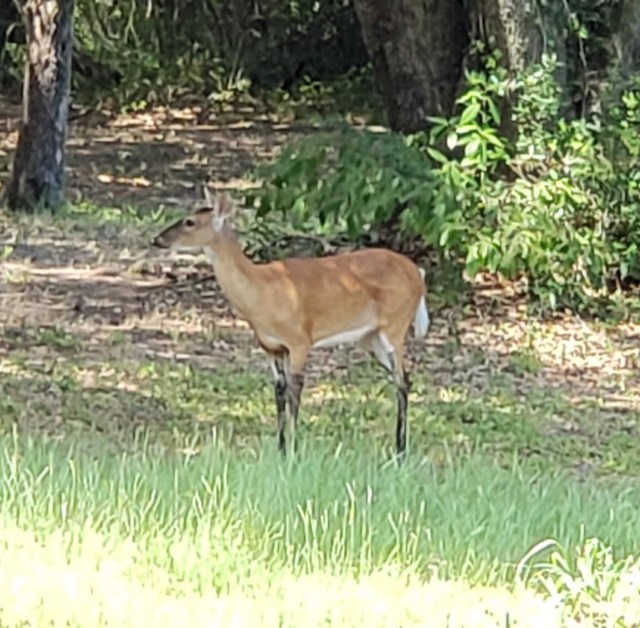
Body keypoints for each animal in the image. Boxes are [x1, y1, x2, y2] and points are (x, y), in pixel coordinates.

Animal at [152, 189, 430, 458]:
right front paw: (282, 450)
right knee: (404, 377)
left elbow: (295, 393)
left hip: (396, 323)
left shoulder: (299, 340)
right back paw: (399, 446)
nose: (156, 240)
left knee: (401, 380)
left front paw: (295, 450)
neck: (262, 292)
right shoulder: (271, 346)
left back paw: (401, 449)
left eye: (190, 222)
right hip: (370, 338)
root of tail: (418, 273)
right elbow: (279, 393)